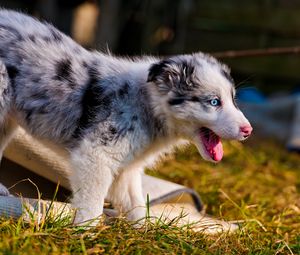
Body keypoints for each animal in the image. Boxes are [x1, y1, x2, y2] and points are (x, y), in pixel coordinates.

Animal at [0, 9, 251, 225]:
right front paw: (85, 233)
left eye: (233, 100)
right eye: (214, 102)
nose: (248, 130)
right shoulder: (95, 155)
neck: (147, 105)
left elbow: (136, 205)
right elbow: (92, 203)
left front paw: (147, 233)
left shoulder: (127, 170)